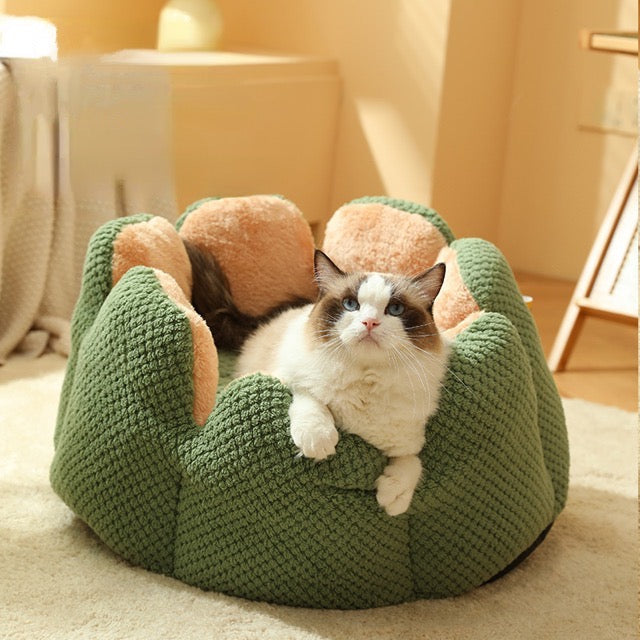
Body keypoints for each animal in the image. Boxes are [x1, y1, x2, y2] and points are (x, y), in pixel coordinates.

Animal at [185, 242, 450, 516]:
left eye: (395, 310)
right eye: (350, 304)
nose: (369, 322)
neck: (365, 379)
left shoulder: (408, 440)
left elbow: (411, 462)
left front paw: (393, 499)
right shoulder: (289, 379)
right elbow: (310, 398)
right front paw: (319, 441)